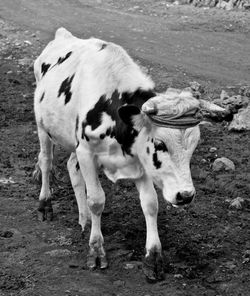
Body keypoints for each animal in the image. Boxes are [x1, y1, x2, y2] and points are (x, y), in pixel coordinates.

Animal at [33, 27, 225, 282]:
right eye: (159, 143)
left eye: (195, 145)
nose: (185, 196)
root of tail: (62, 36)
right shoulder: (87, 152)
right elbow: (97, 200)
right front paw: (96, 250)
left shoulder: (139, 161)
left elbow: (151, 204)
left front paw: (153, 258)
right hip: (43, 128)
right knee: (46, 162)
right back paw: (45, 205)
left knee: (72, 168)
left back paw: (84, 219)